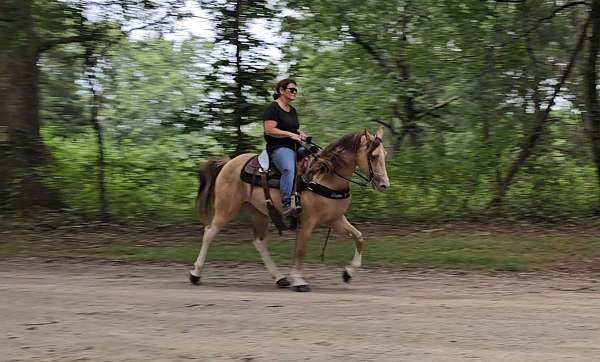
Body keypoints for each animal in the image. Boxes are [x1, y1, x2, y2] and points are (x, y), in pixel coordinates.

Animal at [190, 127, 392, 292]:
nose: (384, 185)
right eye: (374, 156)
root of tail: (229, 163)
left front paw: (348, 273)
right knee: (209, 232)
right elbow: (301, 249)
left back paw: (279, 278)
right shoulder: (308, 222)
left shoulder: (335, 219)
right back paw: (195, 274)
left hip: (260, 212)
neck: (324, 176)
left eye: (385, 154)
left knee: (259, 242)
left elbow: (359, 237)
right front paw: (299, 280)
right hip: (226, 209)